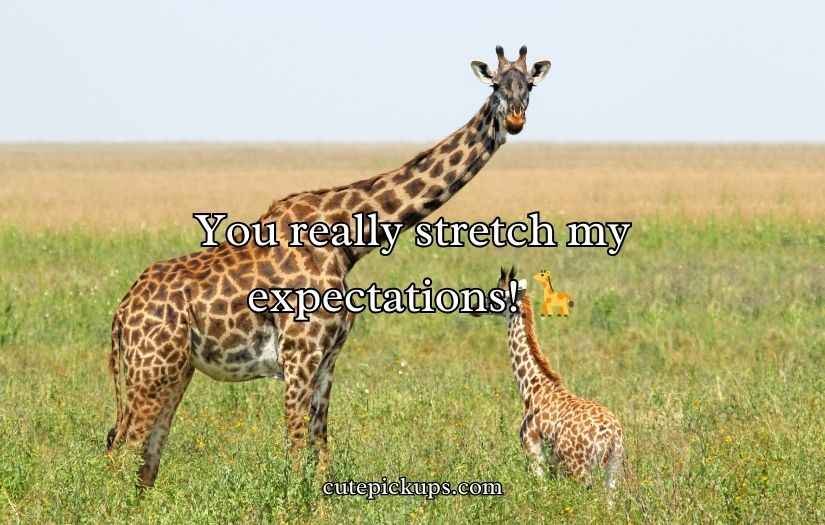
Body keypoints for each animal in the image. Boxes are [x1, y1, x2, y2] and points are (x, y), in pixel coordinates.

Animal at [106, 46, 553, 487]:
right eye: (496, 85)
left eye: (529, 85)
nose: (515, 120)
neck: (347, 241)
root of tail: (121, 313)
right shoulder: (299, 354)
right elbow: (295, 449)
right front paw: (288, 500)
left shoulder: (327, 360)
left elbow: (321, 450)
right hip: (152, 368)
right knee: (122, 448)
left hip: (175, 369)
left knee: (145, 456)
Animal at [475, 267, 623, 491]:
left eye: (497, 294)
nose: (474, 308)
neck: (531, 387)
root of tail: (612, 436)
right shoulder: (553, 463)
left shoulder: (533, 450)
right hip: (612, 470)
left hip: (580, 468)